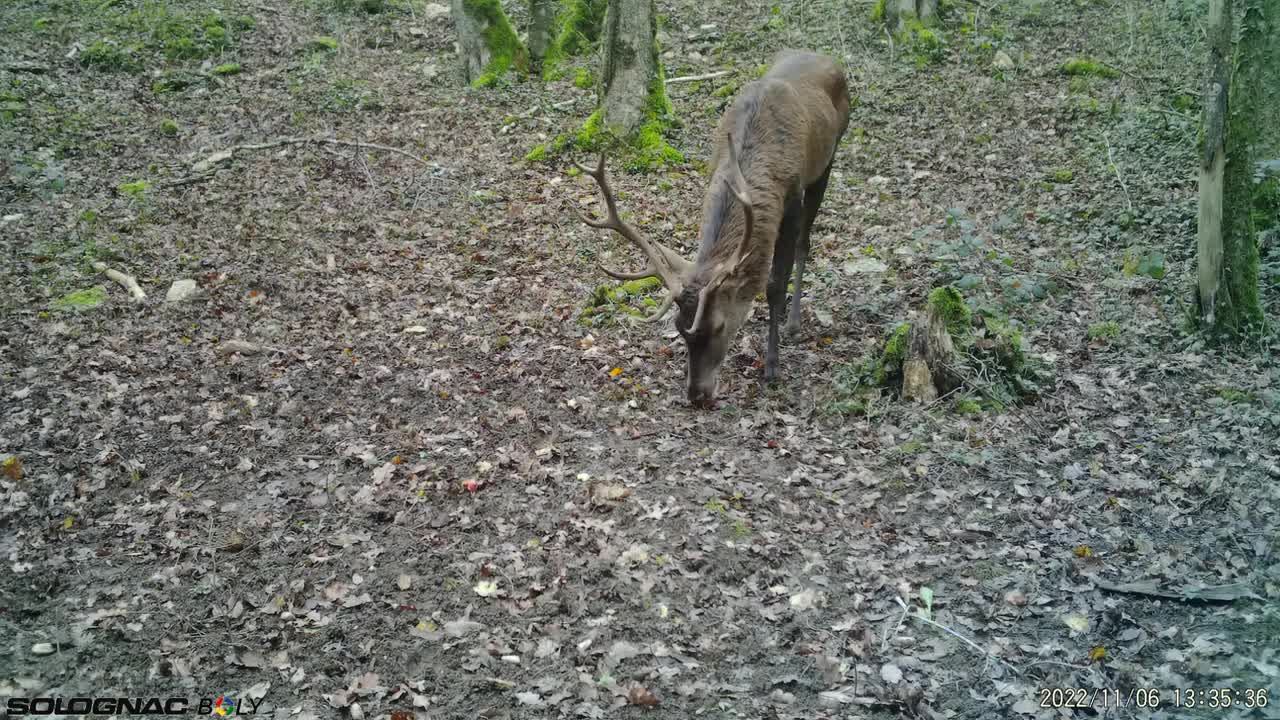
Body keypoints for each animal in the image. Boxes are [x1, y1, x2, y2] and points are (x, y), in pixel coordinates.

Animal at [576, 49, 855, 409]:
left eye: (719, 327)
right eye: (679, 328)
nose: (697, 394)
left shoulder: (791, 196)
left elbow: (775, 283)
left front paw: (772, 367)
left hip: (829, 156)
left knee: (805, 242)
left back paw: (792, 324)